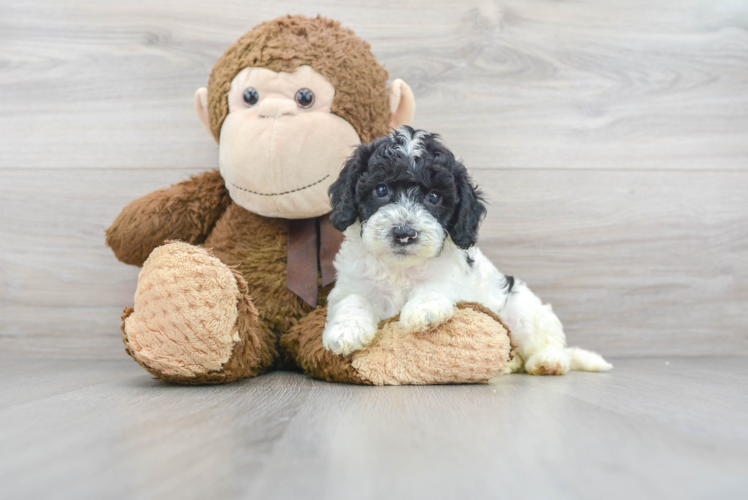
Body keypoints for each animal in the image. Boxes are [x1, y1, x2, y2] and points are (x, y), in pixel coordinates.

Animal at [324, 126, 612, 376]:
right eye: (381, 190)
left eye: (434, 197)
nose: (404, 233)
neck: (401, 269)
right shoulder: (350, 284)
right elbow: (353, 300)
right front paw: (344, 332)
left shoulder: (455, 281)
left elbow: (435, 287)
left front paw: (423, 310)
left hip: (522, 309)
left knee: (547, 343)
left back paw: (548, 362)